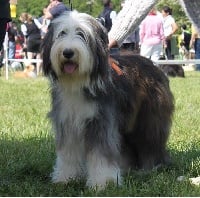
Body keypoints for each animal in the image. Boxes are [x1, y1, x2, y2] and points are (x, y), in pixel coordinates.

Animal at [41, 11, 174, 189]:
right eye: (61, 34)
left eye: (81, 34)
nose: (68, 52)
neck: (78, 82)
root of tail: (153, 64)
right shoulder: (67, 122)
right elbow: (68, 153)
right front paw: (65, 178)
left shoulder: (101, 121)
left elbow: (101, 153)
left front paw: (102, 183)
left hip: (149, 118)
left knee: (150, 141)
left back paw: (151, 167)